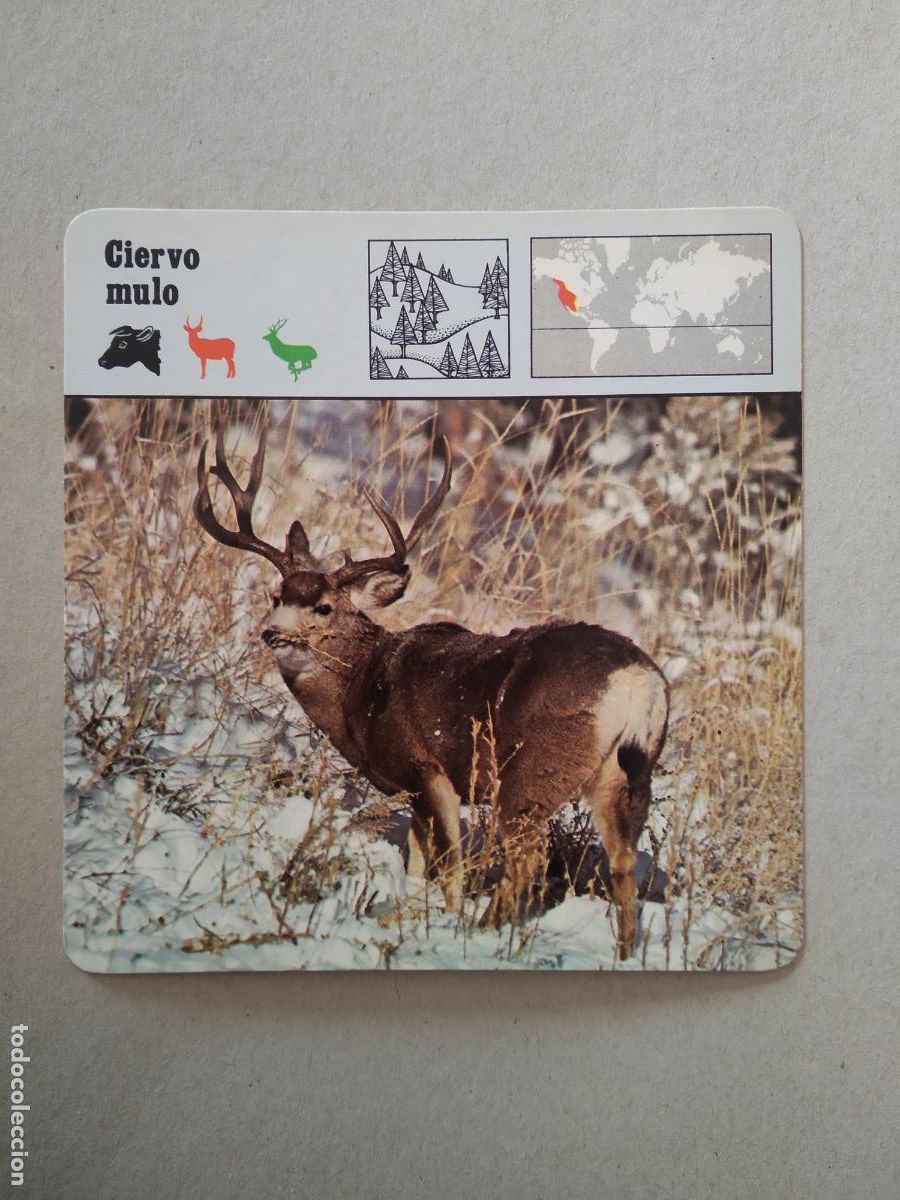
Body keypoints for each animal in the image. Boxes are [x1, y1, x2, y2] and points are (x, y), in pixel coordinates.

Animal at [193, 425, 669, 958]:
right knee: (623, 863)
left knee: (528, 857)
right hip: (625, 776)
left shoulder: (425, 768)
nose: (272, 633)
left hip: (532, 770)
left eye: (323, 607)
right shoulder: (414, 790)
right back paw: (623, 953)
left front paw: (438, 920)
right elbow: (420, 863)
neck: (361, 690)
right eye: (276, 596)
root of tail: (637, 682)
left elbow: (450, 869)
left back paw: (484, 933)